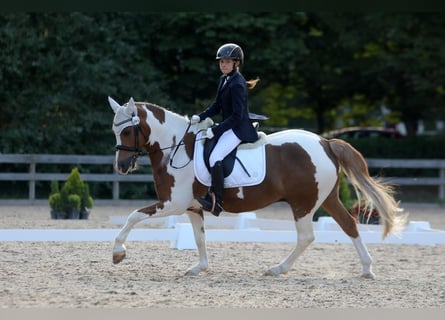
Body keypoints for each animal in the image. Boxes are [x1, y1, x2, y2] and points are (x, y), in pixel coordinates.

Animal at [107, 96, 406, 278]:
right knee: (349, 225)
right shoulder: (191, 207)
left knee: (307, 237)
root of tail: (326, 142)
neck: (177, 148)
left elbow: (133, 216)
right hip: (327, 198)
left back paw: (277, 269)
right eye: (114, 131)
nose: (120, 166)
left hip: (303, 204)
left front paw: (118, 253)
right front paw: (199, 267)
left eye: (127, 131)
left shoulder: (173, 203)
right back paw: (367, 269)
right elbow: (199, 237)